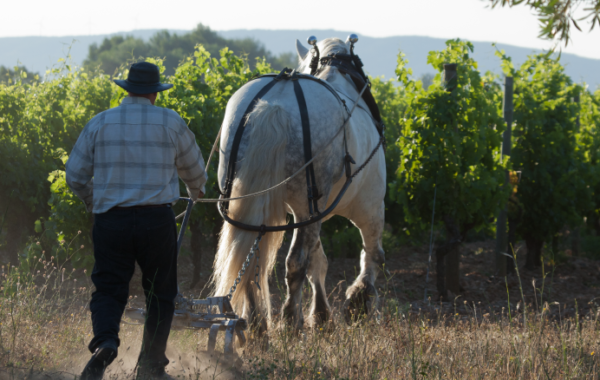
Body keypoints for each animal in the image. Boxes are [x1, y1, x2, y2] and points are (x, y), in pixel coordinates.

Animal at [213, 36, 386, 332]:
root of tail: (274, 106)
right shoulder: (370, 206)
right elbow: (371, 254)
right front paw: (358, 303)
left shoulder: (310, 212)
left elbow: (319, 261)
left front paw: (323, 314)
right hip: (313, 207)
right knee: (295, 262)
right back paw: (290, 322)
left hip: (253, 203)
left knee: (251, 258)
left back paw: (258, 324)